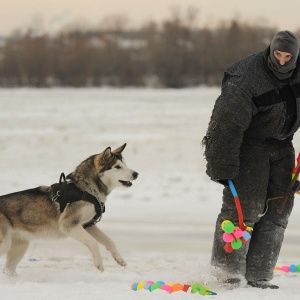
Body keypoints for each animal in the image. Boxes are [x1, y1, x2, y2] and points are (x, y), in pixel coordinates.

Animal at [0, 144, 138, 276]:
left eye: (125, 165)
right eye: (117, 167)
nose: (136, 174)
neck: (87, 190)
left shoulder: (88, 226)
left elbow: (109, 241)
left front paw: (119, 259)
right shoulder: (69, 225)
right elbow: (93, 243)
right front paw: (99, 263)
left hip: (20, 247)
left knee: (8, 270)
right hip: (5, 243)